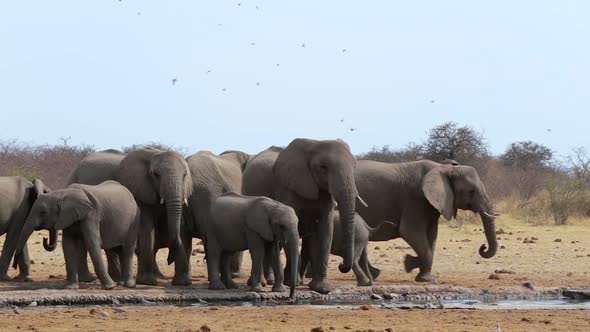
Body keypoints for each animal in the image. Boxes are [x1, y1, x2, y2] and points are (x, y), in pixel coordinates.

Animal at [66, 148, 194, 286]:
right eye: (156, 174)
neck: (155, 153)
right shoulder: (138, 190)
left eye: (185, 175)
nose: (169, 260)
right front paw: (147, 282)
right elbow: (146, 227)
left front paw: (182, 282)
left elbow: (177, 225)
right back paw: (93, 279)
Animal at [242, 139, 366, 294]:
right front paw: (292, 283)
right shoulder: (287, 188)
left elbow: (326, 231)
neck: (314, 145)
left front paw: (321, 288)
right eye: (323, 167)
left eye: (354, 167)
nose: (341, 266)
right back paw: (266, 282)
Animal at [356, 160, 500, 282]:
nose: (483, 247)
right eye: (471, 191)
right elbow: (410, 232)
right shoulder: (416, 200)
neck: (445, 168)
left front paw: (413, 266)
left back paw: (374, 274)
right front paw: (422, 275)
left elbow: (432, 236)